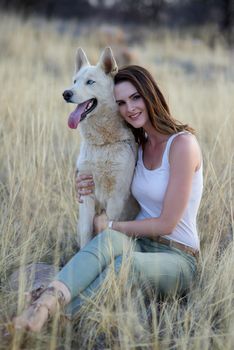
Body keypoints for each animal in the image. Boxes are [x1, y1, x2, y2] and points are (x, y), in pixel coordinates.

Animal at [63, 47, 138, 249]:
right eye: (74, 81)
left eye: (90, 82)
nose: (66, 93)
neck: (102, 144)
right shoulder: (86, 194)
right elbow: (85, 231)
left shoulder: (116, 198)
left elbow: (107, 229)